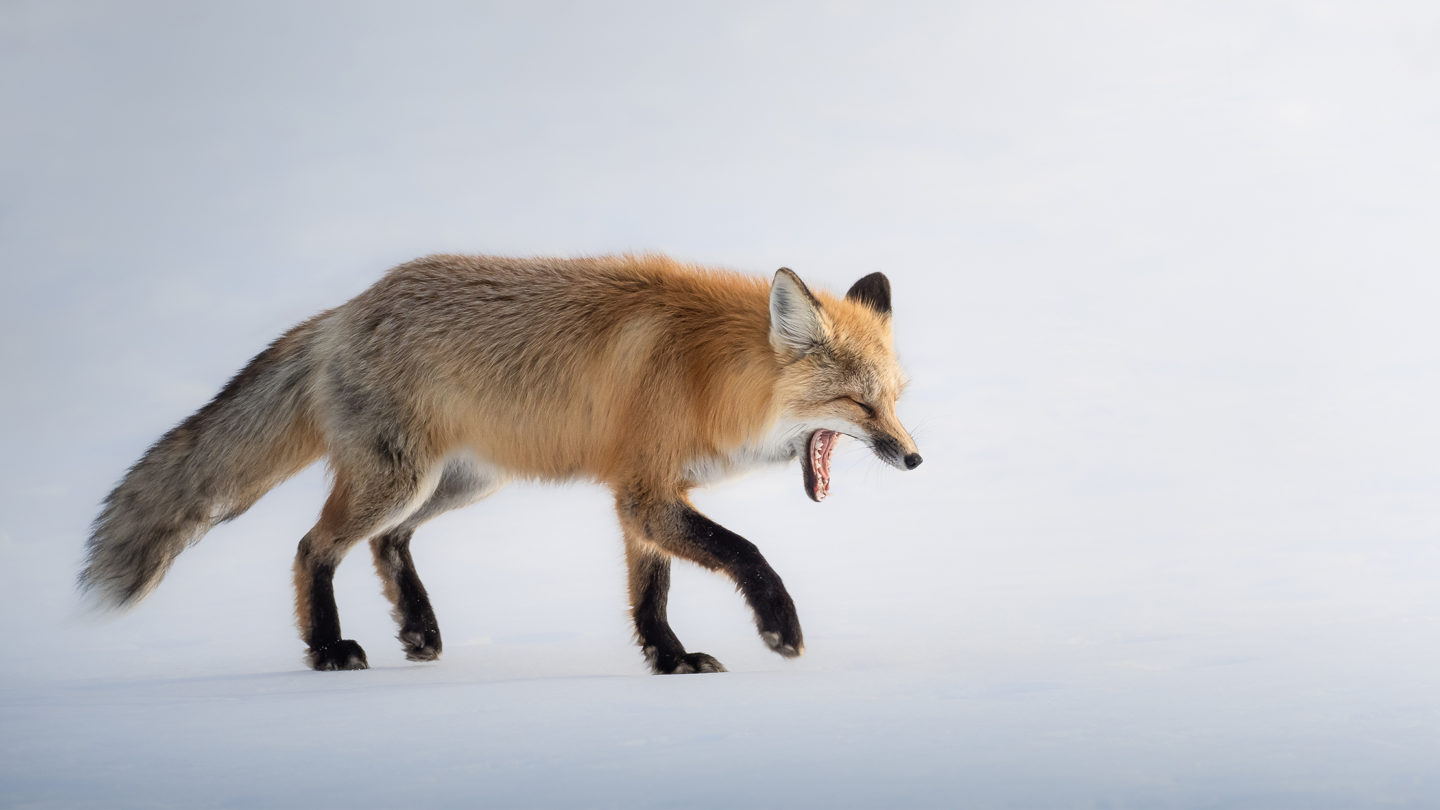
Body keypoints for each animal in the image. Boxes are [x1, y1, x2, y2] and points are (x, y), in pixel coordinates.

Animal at [81, 255, 921, 671]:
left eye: (897, 399)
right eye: (859, 404)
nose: (915, 458)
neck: (707, 373)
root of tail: (346, 312)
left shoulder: (640, 497)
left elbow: (650, 597)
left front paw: (668, 660)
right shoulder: (646, 493)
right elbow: (745, 552)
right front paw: (778, 626)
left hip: (461, 482)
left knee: (387, 545)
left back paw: (418, 630)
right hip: (398, 481)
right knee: (312, 547)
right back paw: (325, 648)